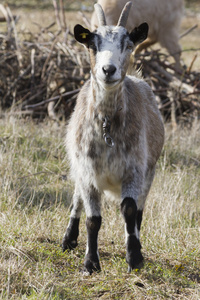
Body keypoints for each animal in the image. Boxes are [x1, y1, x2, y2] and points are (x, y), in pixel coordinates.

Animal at [62, 1, 164, 274]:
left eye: (127, 44)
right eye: (92, 44)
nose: (108, 70)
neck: (107, 124)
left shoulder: (134, 169)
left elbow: (129, 210)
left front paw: (134, 257)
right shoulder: (87, 171)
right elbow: (93, 219)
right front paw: (90, 263)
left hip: (149, 173)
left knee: (139, 211)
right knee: (76, 197)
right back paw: (68, 239)